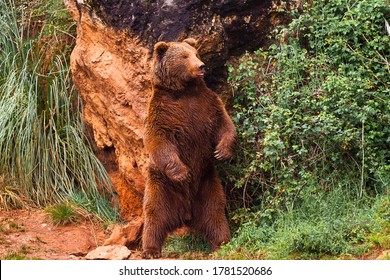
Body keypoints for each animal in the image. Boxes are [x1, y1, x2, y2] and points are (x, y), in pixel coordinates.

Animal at [142, 37, 236, 258]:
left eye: (196, 53)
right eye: (184, 56)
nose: (201, 66)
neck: (184, 90)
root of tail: (185, 214)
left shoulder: (208, 104)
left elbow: (224, 123)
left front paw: (222, 152)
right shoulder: (163, 112)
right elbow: (160, 141)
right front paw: (182, 173)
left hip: (207, 185)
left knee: (215, 213)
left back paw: (222, 242)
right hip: (161, 186)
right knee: (155, 215)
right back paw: (150, 250)